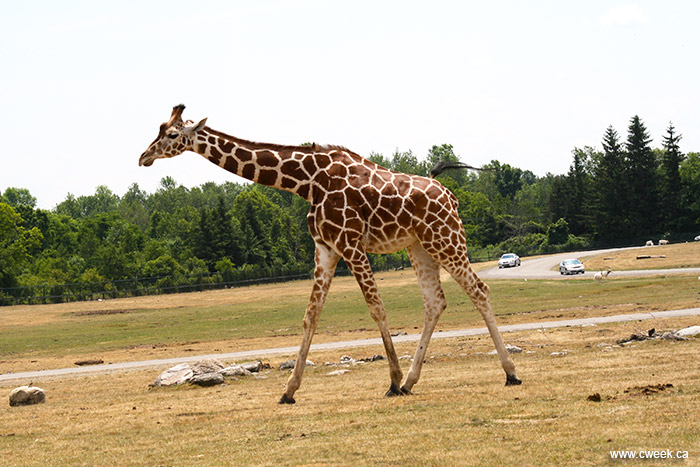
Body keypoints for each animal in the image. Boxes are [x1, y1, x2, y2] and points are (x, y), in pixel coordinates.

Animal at [139, 104, 522, 404]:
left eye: (171, 134)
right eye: (158, 130)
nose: (144, 156)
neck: (305, 181)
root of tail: (450, 196)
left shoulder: (350, 244)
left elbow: (376, 308)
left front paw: (392, 380)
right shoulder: (325, 248)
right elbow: (311, 316)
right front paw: (288, 390)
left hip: (446, 237)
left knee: (479, 290)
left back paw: (510, 373)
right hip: (419, 245)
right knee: (435, 301)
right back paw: (414, 381)